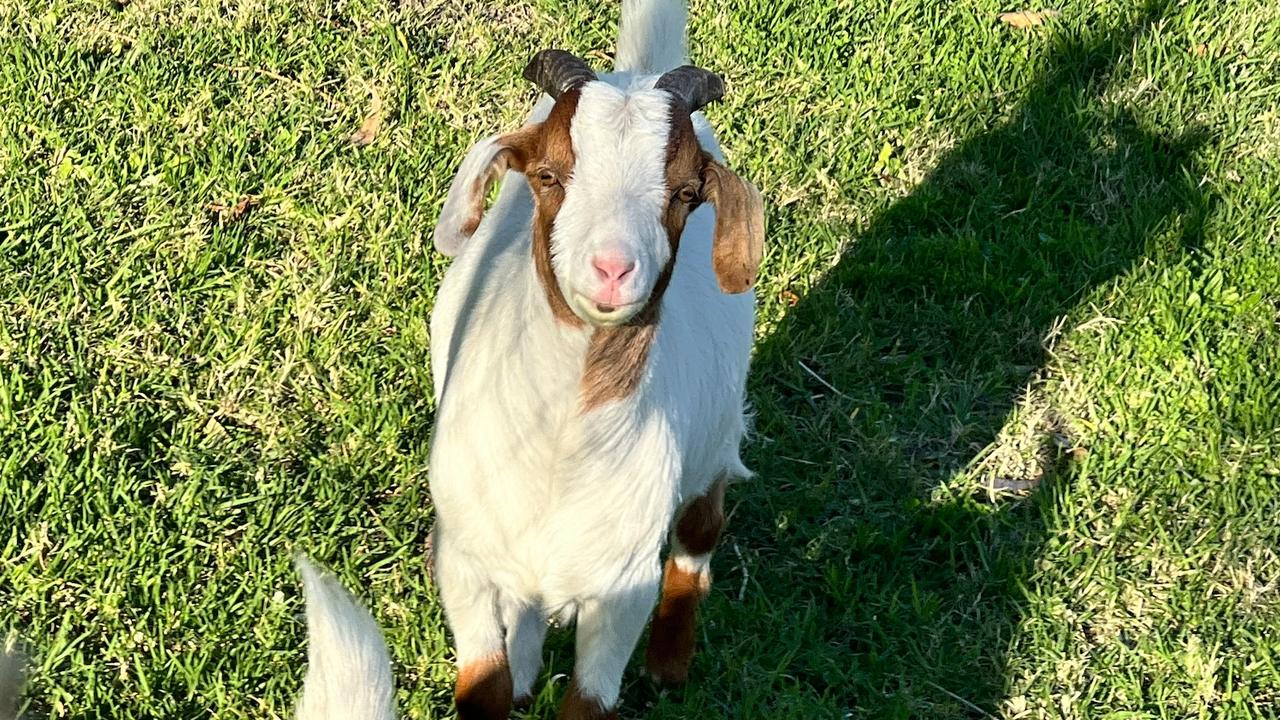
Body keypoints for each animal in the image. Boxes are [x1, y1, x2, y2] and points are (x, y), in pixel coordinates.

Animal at [424, 0, 762, 712]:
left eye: (685, 193)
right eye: (548, 176)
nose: (612, 270)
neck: (560, 448)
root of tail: (637, 69)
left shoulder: (621, 589)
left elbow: (590, 700)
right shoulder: (465, 562)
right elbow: (485, 683)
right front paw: (514, 683)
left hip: (714, 437)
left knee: (701, 528)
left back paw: (669, 662)